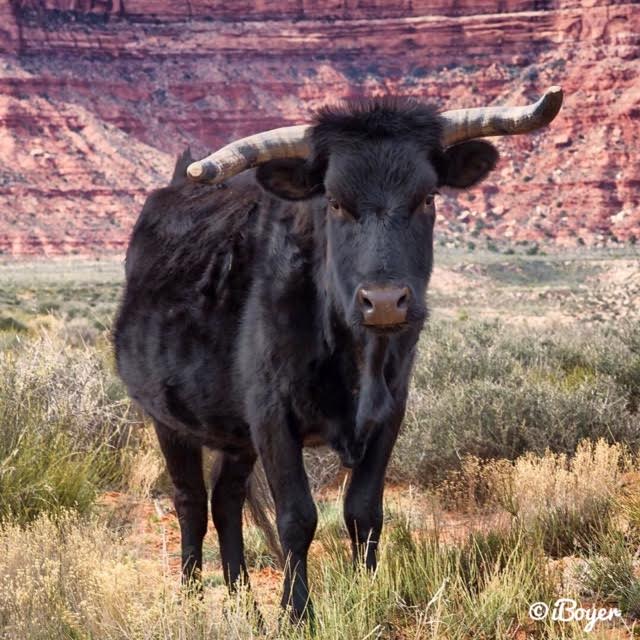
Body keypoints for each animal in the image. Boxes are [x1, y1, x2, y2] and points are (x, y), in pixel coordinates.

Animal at [114, 97, 504, 616]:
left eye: (428, 198)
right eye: (335, 202)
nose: (384, 301)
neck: (354, 357)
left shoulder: (390, 412)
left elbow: (364, 510)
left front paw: (367, 597)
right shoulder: (272, 417)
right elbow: (297, 517)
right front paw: (298, 613)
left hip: (234, 434)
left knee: (225, 499)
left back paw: (243, 602)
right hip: (168, 418)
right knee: (190, 500)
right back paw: (193, 596)